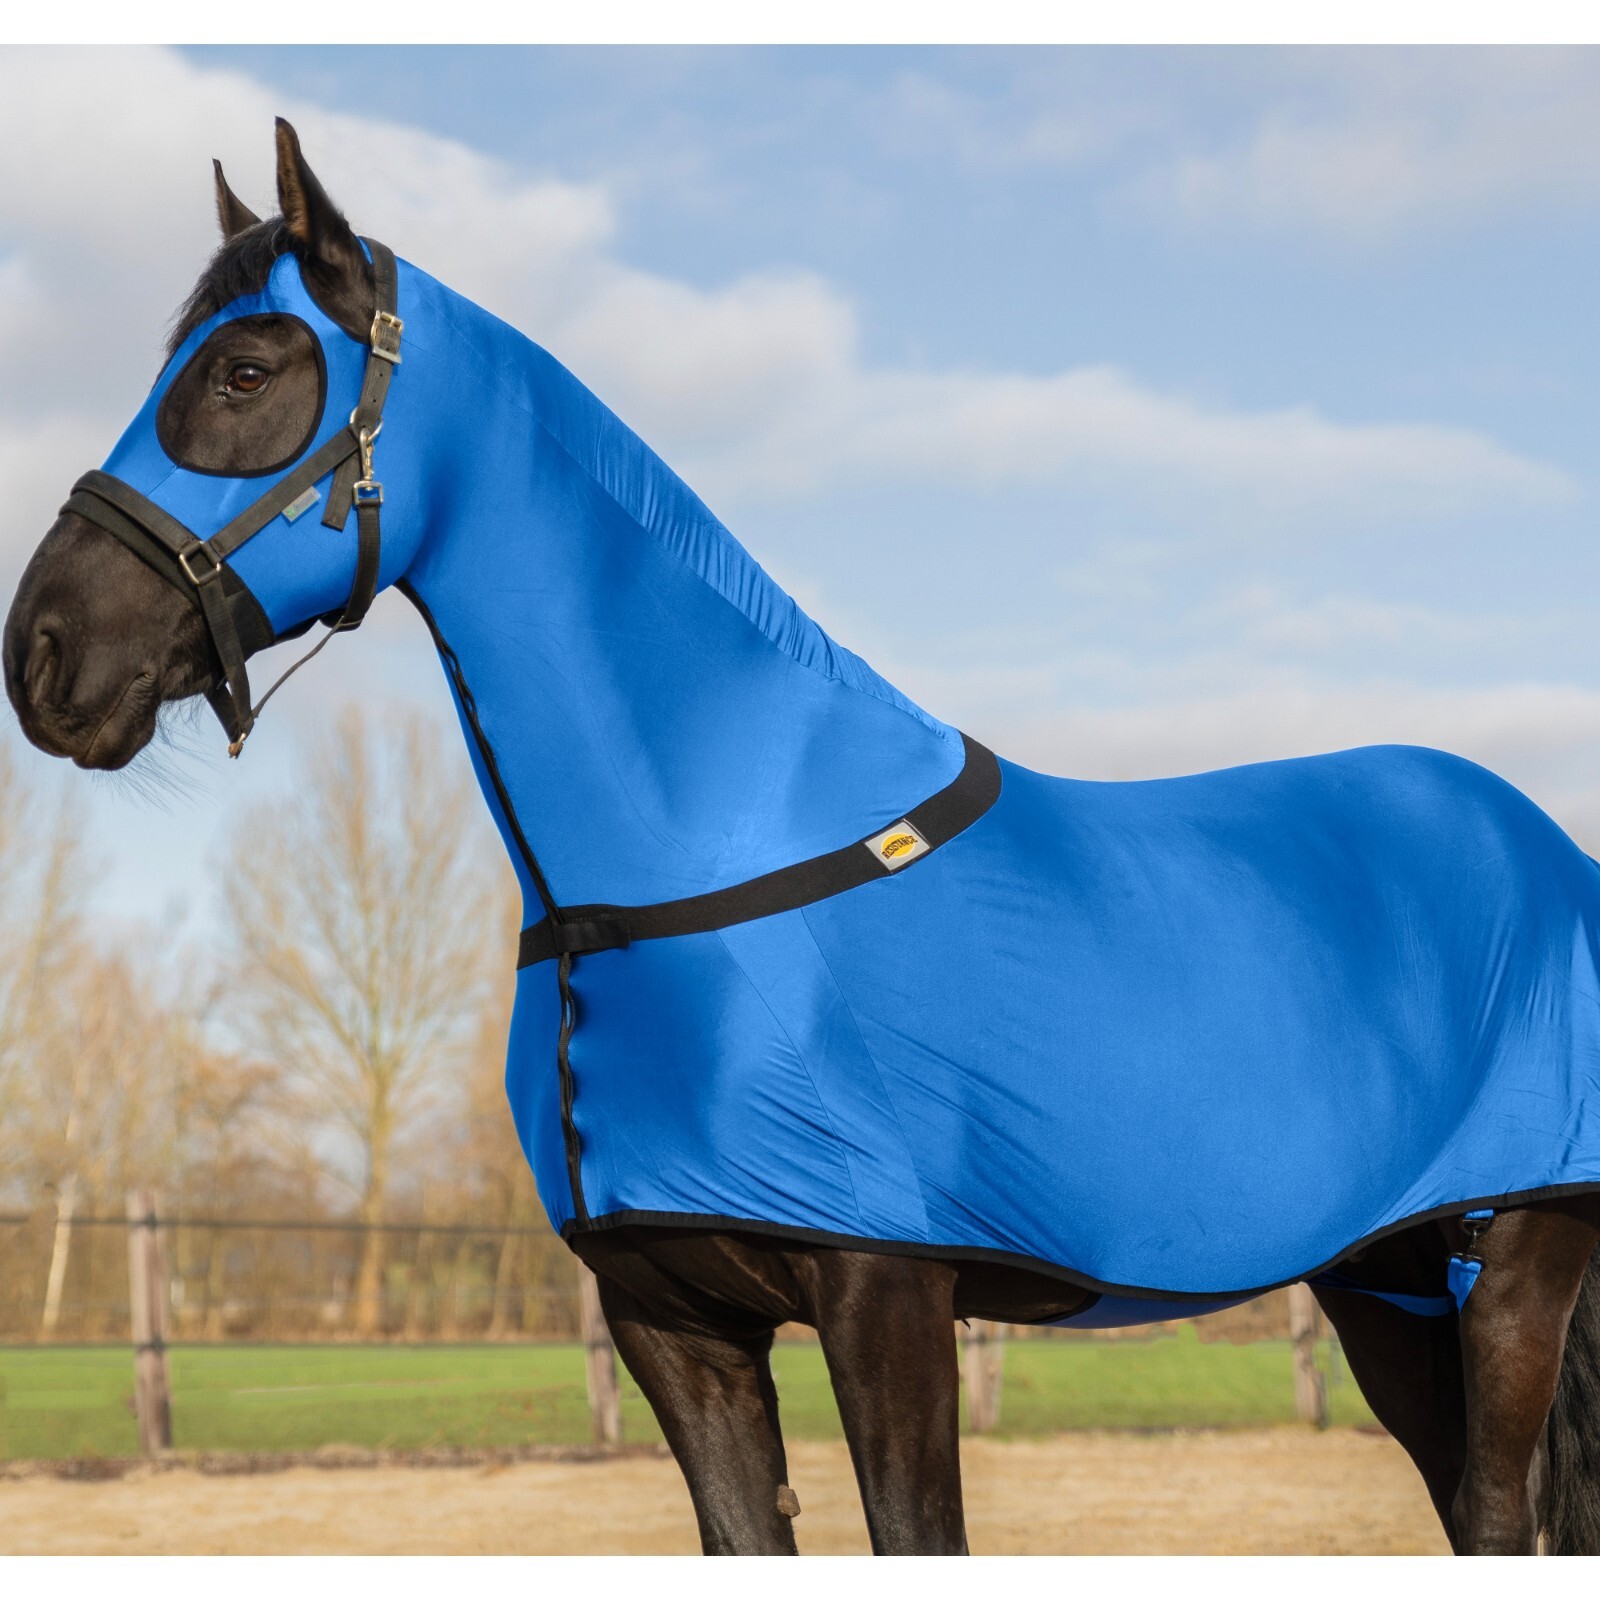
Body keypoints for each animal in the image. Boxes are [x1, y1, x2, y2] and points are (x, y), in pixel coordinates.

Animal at [8, 119, 1600, 1557]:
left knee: (1497, 1516)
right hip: (1388, 1281)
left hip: (1517, 1254)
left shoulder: (885, 1292)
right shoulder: (671, 1318)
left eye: (246, 370)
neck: (704, 847)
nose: (44, 654)